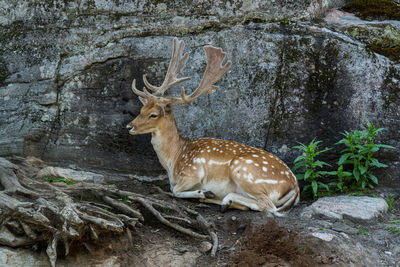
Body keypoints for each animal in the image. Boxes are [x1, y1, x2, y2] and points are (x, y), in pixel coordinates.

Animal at [126, 37, 298, 216]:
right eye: (141, 110)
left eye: (153, 114)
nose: (129, 126)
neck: (174, 159)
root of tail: (295, 188)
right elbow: (173, 188)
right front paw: (205, 194)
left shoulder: (193, 172)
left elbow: (175, 190)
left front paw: (204, 192)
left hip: (244, 171)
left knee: (268, 206)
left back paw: (221, 199)